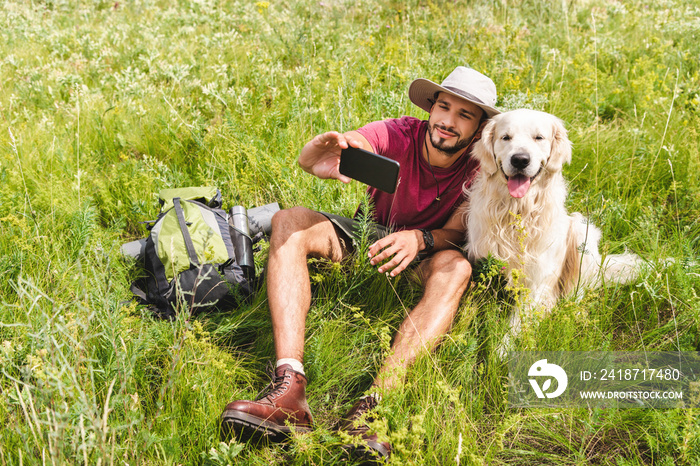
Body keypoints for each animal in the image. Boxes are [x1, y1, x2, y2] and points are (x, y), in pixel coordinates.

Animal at [464, 108, 644, 346]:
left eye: (539, 138)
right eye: (506, 137)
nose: (520, 159)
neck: (518, 211)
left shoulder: (538, 284)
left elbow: (514, 328)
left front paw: (500, 351)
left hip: (581, 230)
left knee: (576, 292)